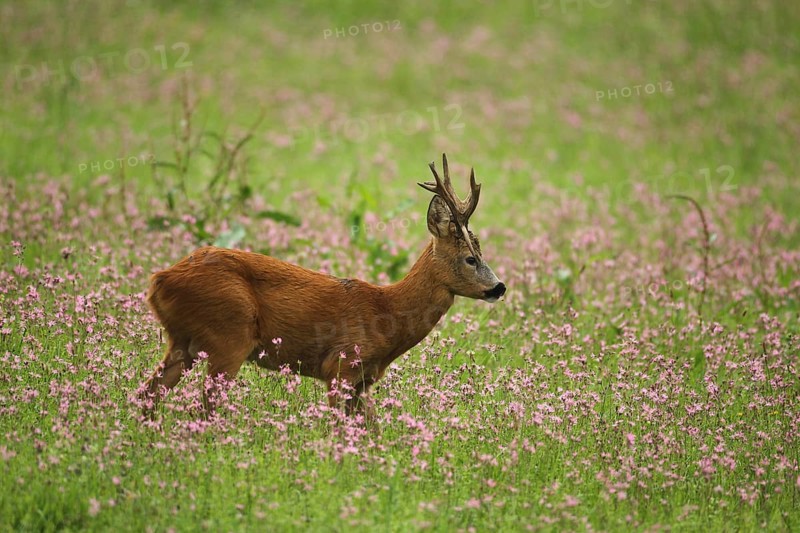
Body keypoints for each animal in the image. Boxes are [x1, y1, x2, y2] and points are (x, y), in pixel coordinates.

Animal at [141, 153, 506, 417]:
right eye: (470, 258)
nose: (499, 287)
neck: (388, 312)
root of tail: (159, 279)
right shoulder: (340, 366)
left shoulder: (363, 381)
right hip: (229, 334)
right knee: (203, 406)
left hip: (184, 341)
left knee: (148, 394)